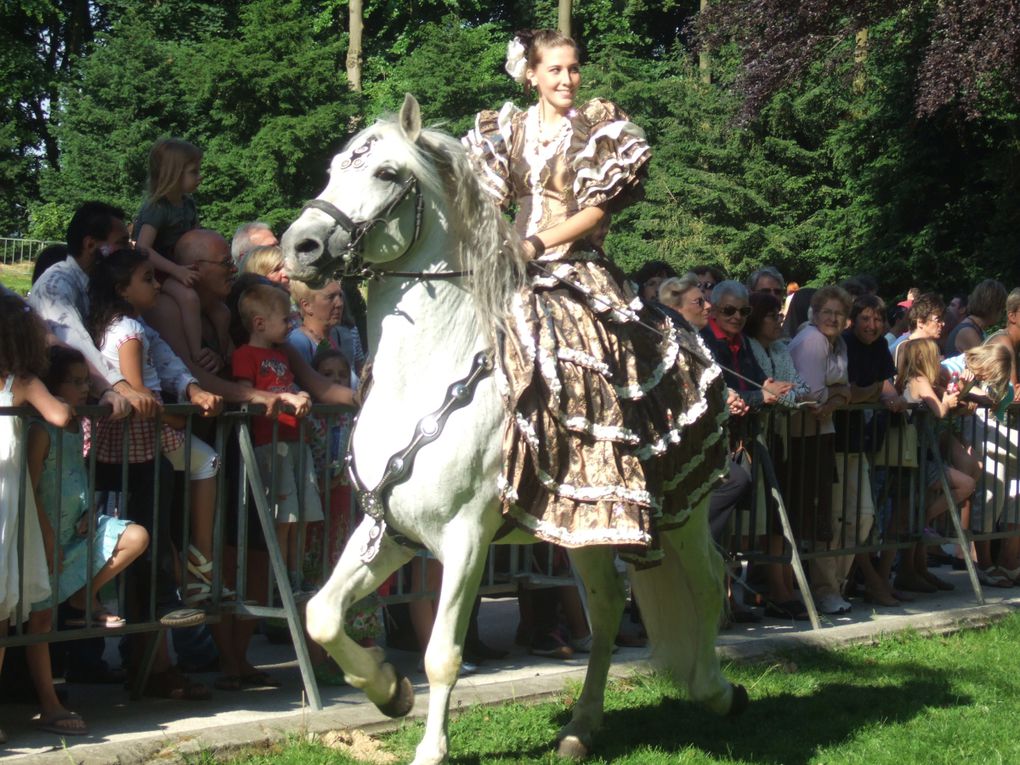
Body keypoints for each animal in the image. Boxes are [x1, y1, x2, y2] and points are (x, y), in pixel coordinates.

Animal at [283, 95, 746, 765]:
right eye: (334, 167)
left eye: (387, 174)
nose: (300, 246)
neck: (426, 373)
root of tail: (691, 337)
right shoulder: (388, 528)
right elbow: (321, 614)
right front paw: (388, 689)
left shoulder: (465, 537)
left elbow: (442, 655)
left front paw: (429, 747)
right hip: (586, 526)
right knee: (608, 606)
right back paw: (581, 726)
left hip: (684, 509)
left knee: (709, 585)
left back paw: (716, 693)